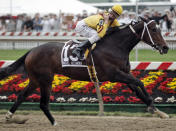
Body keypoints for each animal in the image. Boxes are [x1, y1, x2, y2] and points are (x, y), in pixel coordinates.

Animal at [0, 16, 170, 125]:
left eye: (159, 28)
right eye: (153, 29)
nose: (166, 47)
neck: (115, 46)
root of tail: (32, 51)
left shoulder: (124, 74)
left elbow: (137, 90)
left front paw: (159, 112)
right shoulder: (115, 75)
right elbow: (140, 82)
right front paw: (153, 106)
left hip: (36, 80)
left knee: (21, 96)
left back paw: (9, 117)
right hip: (45, 79)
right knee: (43, 103)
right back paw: (55, 123)